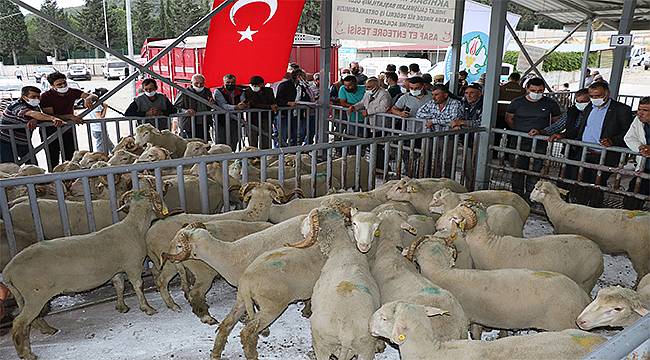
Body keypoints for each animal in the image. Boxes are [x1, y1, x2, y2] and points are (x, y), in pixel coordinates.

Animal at [2, 190, 167, 358]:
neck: (134, 227)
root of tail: (8, 271)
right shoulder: (133, 265)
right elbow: (138, 286)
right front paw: (147, 308)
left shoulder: (116, 270)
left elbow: (119, 286)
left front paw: (122, 307)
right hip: (35, 295)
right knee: (20, 322)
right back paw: (26, 354)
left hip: (25, 296)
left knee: (32, 319)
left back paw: (47, 330)